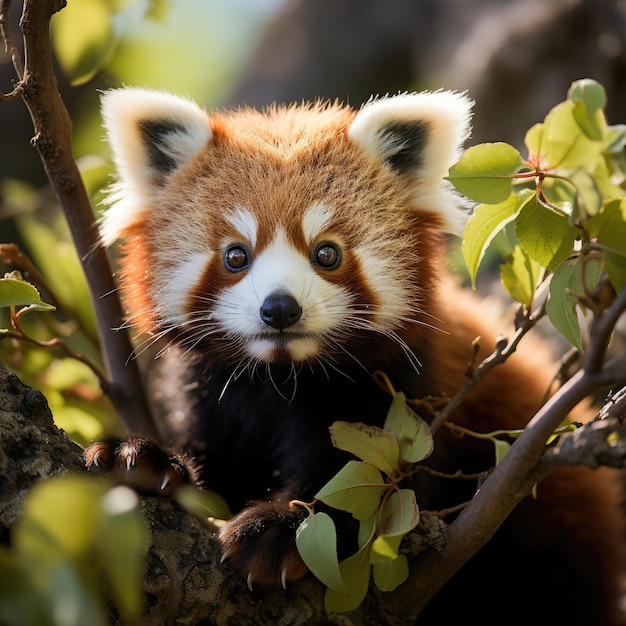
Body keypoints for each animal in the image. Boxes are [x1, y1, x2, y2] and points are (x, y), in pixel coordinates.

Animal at [86, 88, 624, 624]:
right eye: (235, 256)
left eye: (327, 253)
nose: (279, 309)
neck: (282, 377)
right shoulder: (208, 387)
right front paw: (145, 458)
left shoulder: (404, 390)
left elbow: (372, 485)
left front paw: (282, 531)